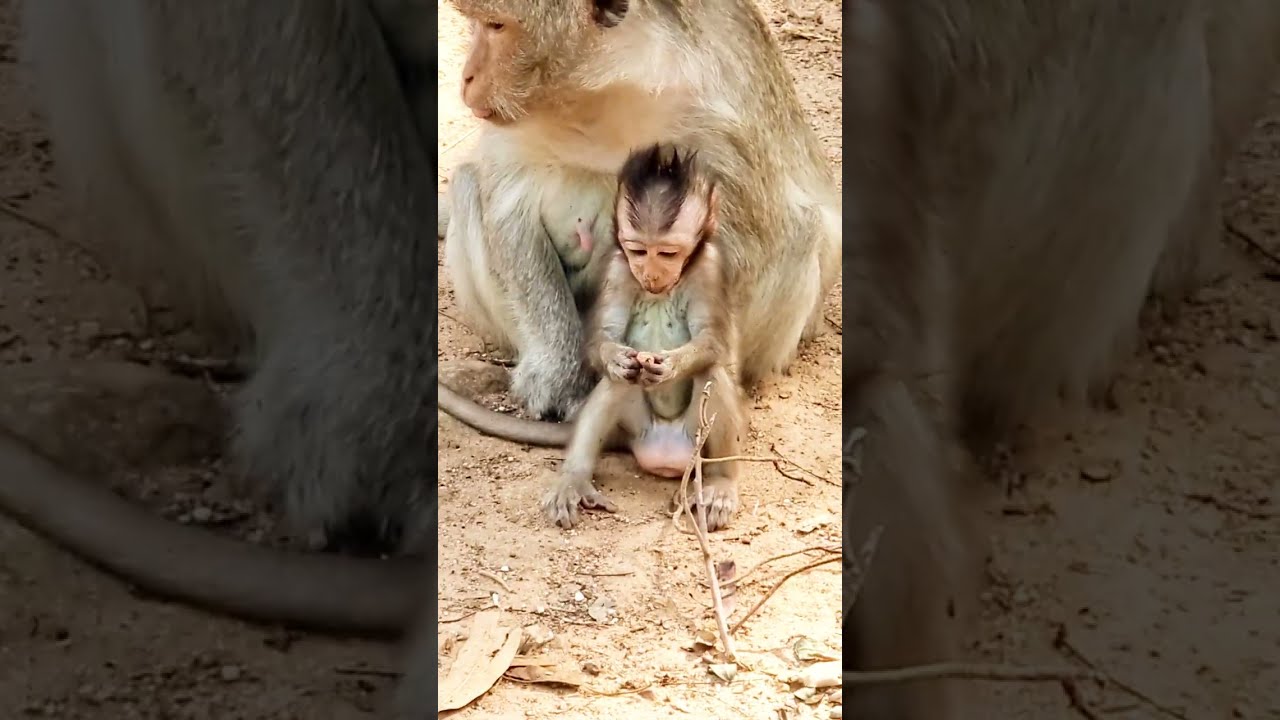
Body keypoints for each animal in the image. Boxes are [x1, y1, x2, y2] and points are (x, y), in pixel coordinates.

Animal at [539, 143, 745, 531]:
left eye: (667, 252)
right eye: (638, 250)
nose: (649, 274)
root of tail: (664, 452)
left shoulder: (709, 268)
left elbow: (713, 342)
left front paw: (672, 365)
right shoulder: (618, 268)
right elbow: (603, 339)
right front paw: (614, 356)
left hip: (697, 445)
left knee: (710, 372)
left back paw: (721, 483)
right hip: (637, 427)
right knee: (617, 384)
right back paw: (574, 479)